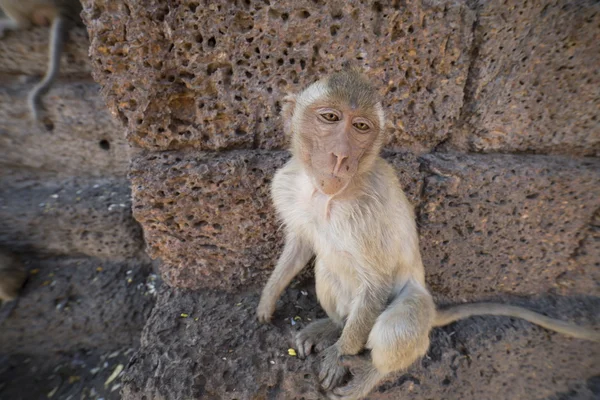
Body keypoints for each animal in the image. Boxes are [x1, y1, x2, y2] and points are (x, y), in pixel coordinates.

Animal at [258, 70, 600, 398]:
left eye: (360, 127)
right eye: (330, 117)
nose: (341, 157)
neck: (326, 194)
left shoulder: (368, 211)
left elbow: (376, 283)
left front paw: (338, 357)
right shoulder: (286, 185)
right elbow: (300, 244)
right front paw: (268, 300)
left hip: (417, 308)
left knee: (397, 327)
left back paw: (368, 372)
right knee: (326, 270)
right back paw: (333, 326)